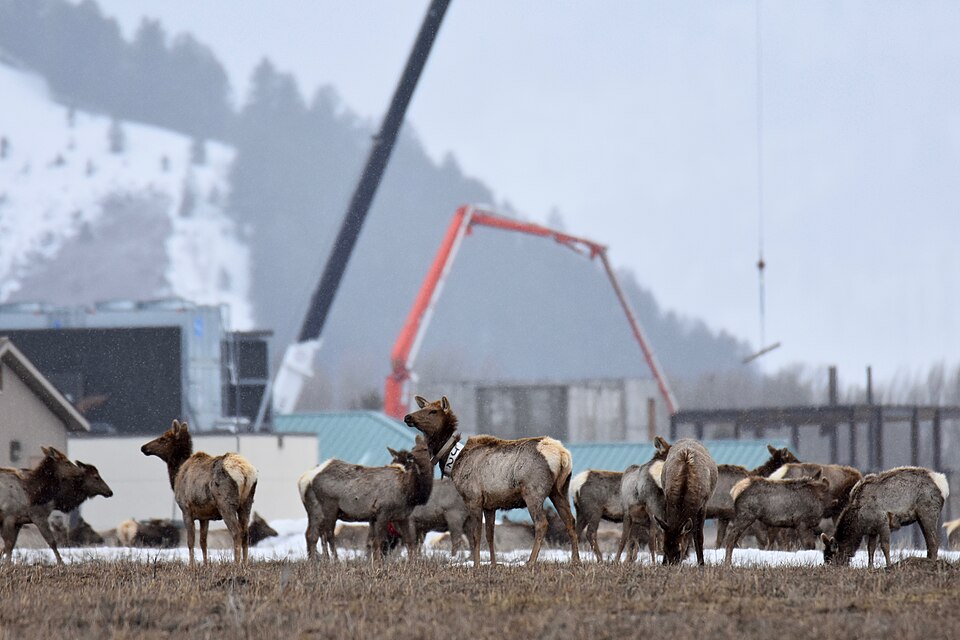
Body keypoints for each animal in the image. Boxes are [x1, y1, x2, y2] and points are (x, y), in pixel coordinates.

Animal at [141, 419, 258, 565]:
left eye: (163, 438)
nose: (143, 447)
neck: (177, 474)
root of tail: (245, 473)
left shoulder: (186, 509)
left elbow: (191, 541)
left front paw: (191, 565)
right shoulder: (204, 515)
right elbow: (203, 542)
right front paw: (206, 564)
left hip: (226, 504)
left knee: (236, 532)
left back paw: (236, 564)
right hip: (247, 503)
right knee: (245, 533)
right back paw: (245, 564)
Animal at [298, 435, 433, 561]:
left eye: (425, 449)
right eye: (413, 449)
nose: (413, 457)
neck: (409, 493)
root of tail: (304, 479)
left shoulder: (399, 517)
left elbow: (409, 542)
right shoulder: (382, 512)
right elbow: (379, 542)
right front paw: (378, 563)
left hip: (314, 510)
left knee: (311, 535)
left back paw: (315, 561)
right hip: (329, 506)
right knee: (328, 534)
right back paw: (334, 561)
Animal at [404, 395, 581, 566]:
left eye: (433, 411)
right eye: (423, 407)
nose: (408, 416)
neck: (454, 462)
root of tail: (563, 455)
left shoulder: (473, 498)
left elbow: (476, 536)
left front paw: (476, 565)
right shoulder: (490, 505)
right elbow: (489, 535)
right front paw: (493, 564)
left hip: (533, 491)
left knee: (542, 523)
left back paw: (530, 562)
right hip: (559, 490)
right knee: (570, 520)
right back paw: (576, 560)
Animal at [653, 437, 718, 565]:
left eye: (679, 550)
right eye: (664, 549)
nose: (670, 565)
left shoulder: (703, 505)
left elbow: (698, 536)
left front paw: (701, 563)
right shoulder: (667, 499)